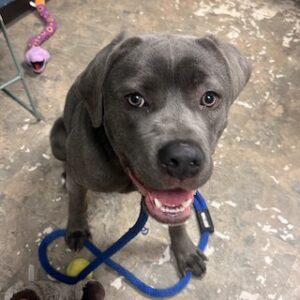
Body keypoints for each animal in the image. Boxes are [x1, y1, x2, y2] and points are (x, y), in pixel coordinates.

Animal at [49, 32, 251, 276]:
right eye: (135, 99)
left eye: (209, 98)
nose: (183, 159)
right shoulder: (80, 180)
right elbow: (77, 203)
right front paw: (77, 229)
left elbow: (178, 220)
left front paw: (184, 250)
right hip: (57, 139)